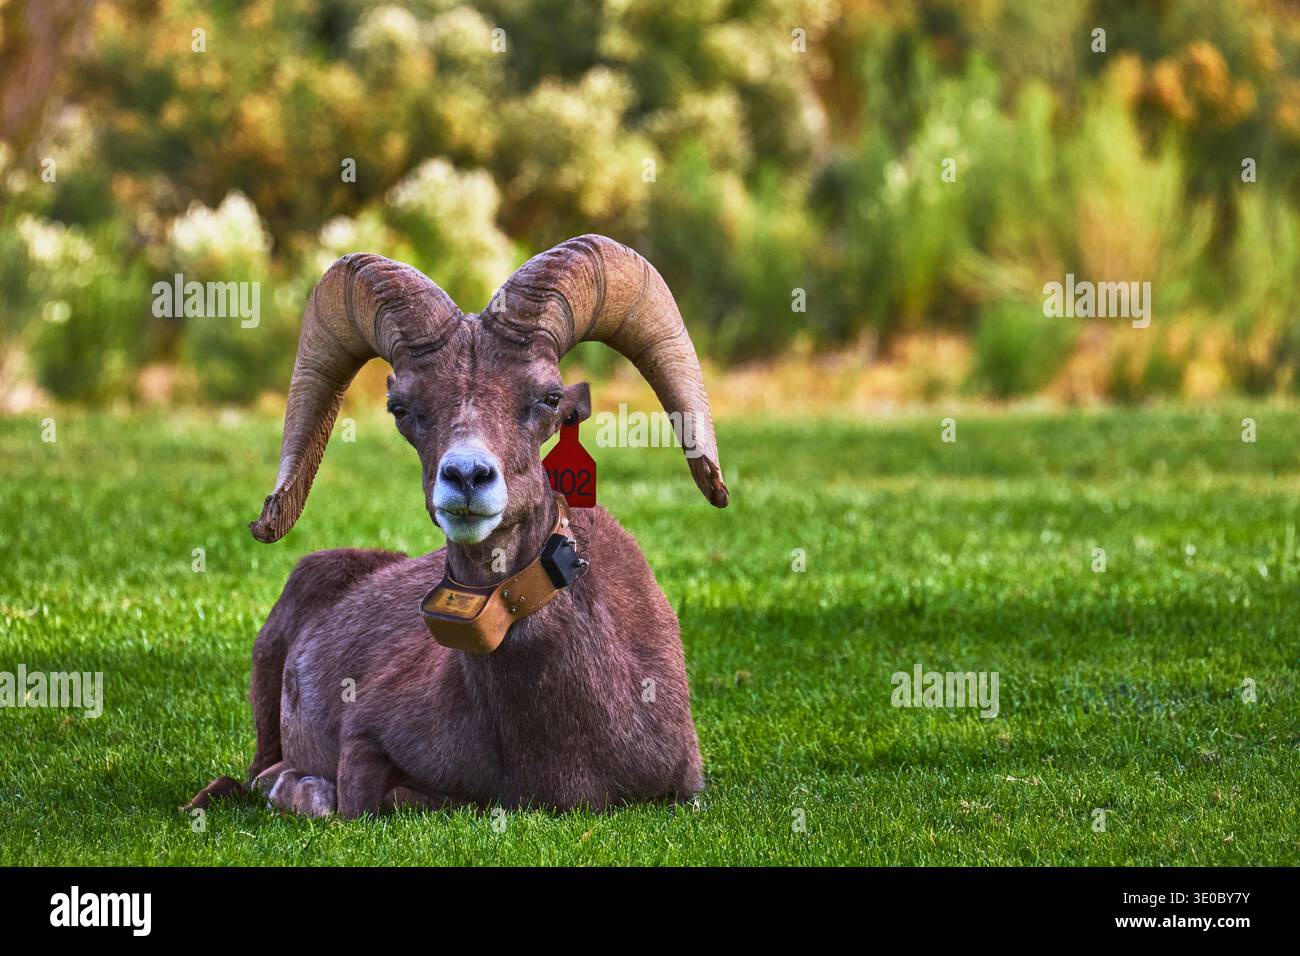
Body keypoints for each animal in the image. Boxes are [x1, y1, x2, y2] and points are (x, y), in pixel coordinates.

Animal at [187, 234, 729, 818]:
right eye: (401, 408)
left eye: (549, 398)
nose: (467, 476)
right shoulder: (363, 738)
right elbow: (353, 801)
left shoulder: (683, 791)